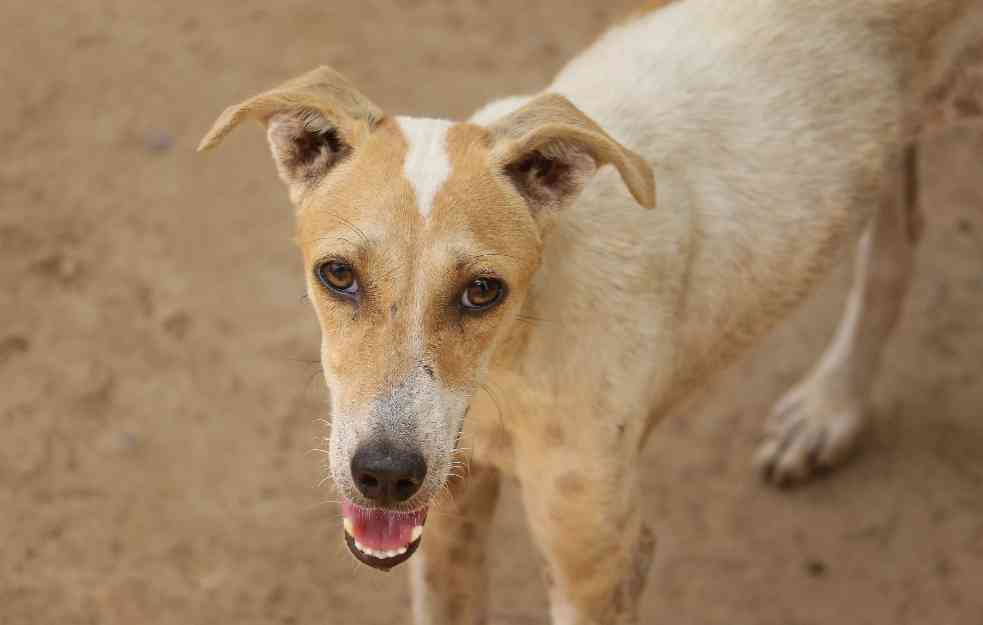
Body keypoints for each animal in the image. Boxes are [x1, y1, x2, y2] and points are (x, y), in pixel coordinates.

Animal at [200, 0, 983, 620]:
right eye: (337, 275)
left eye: (482, 289)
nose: (385, 475)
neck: (511, 363)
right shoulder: (449, 514)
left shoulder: (597, 563)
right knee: (893, 245)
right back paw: (831, 406)